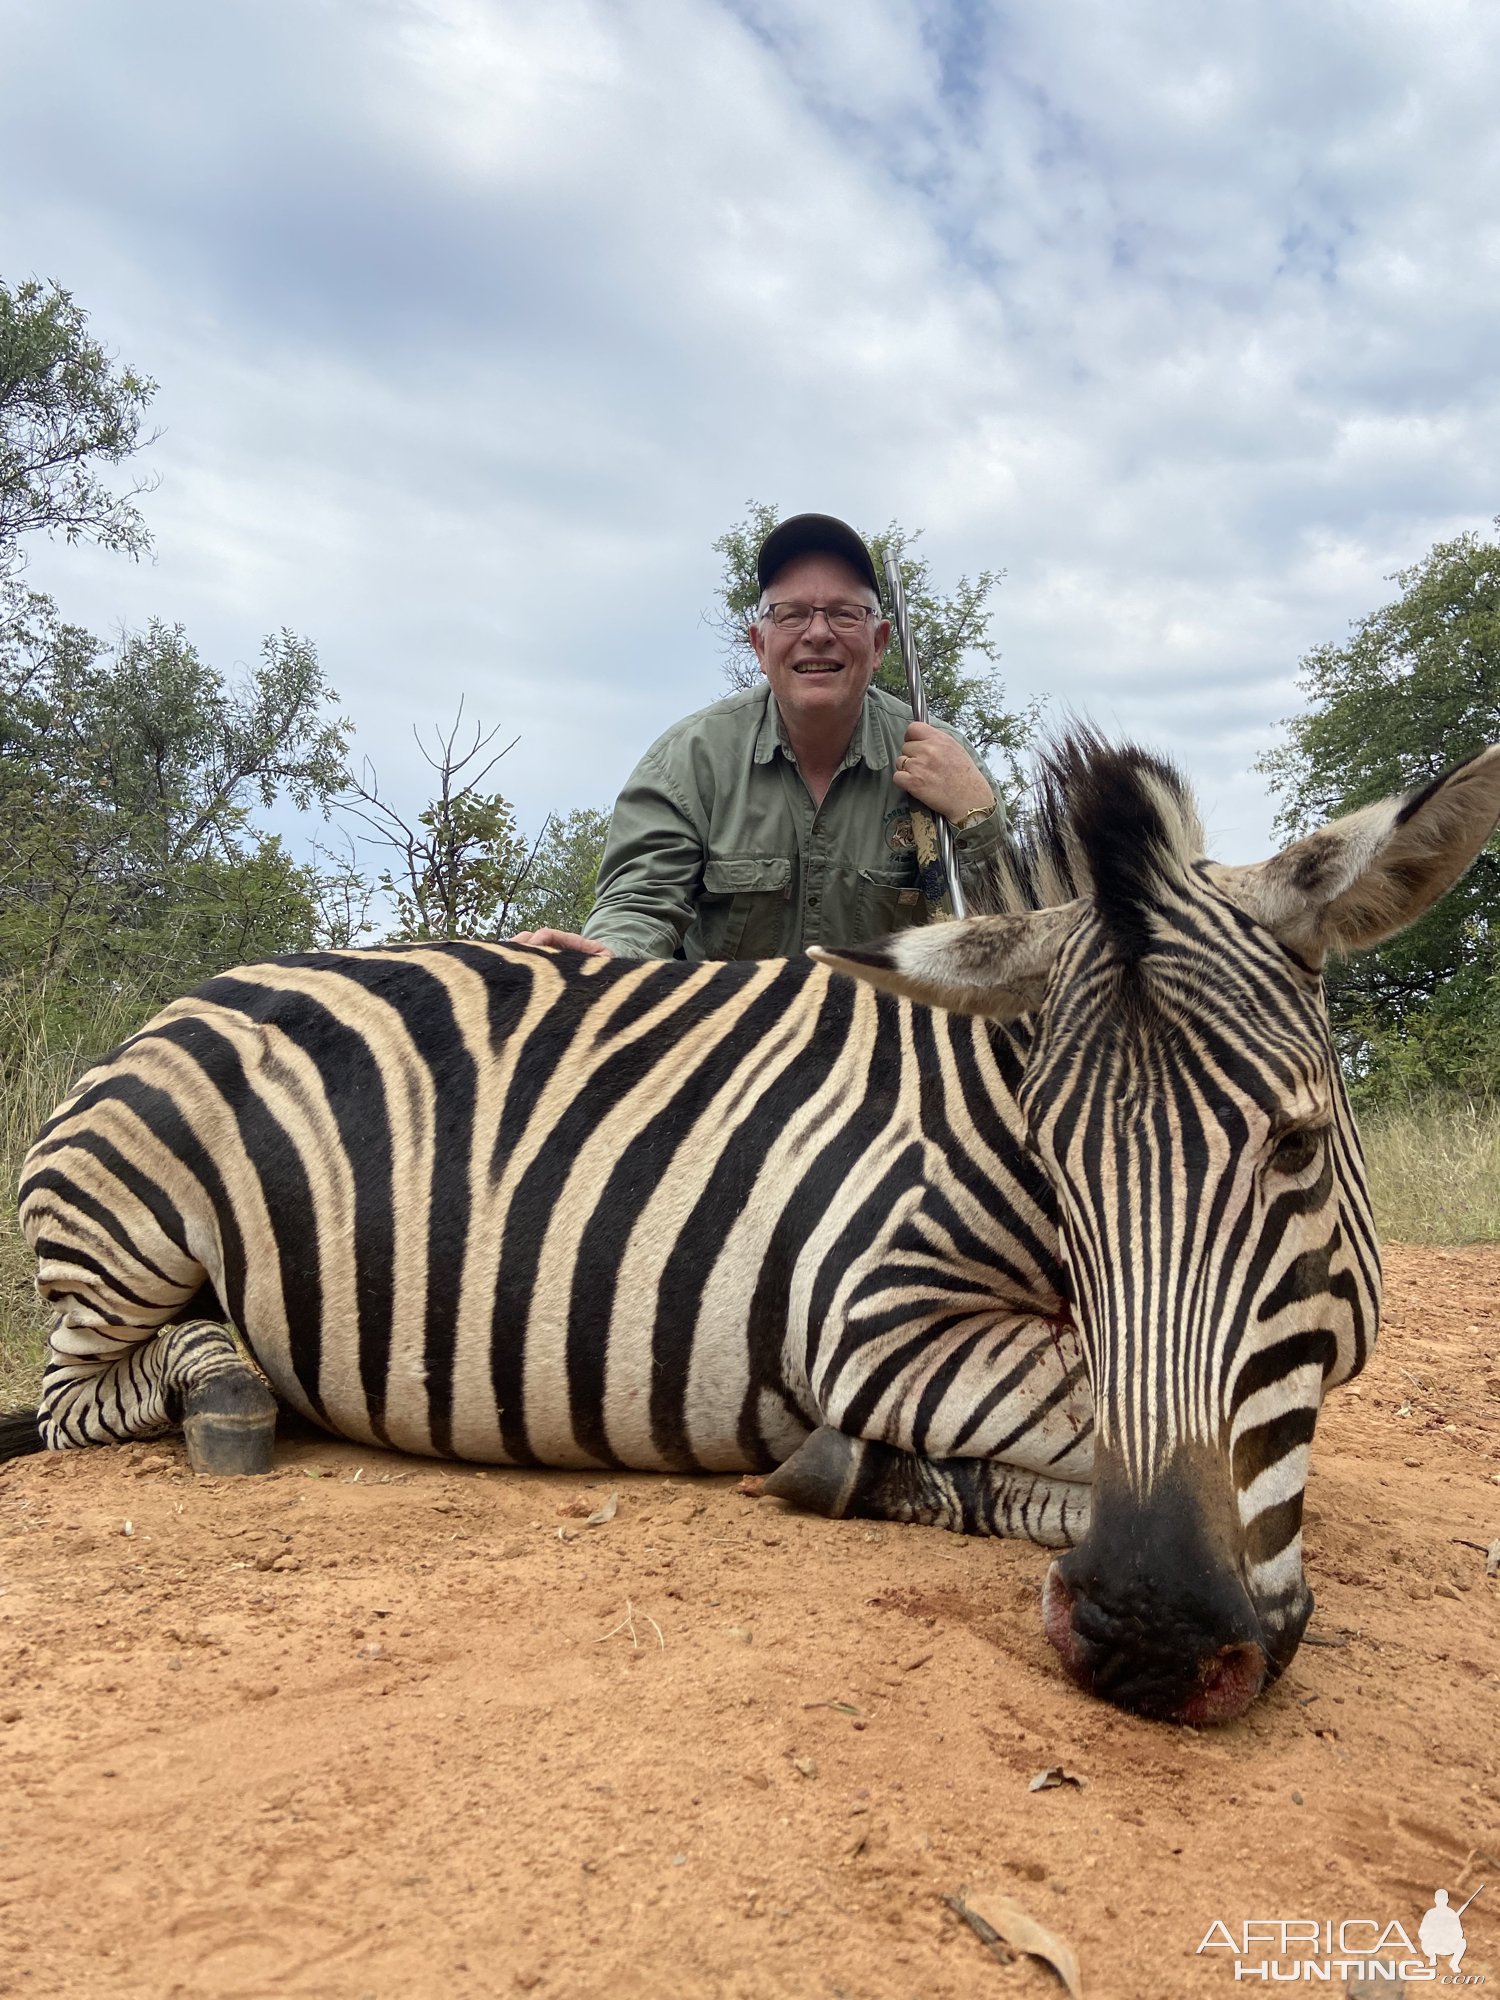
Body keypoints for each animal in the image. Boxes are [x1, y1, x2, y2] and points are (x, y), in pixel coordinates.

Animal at [11, 736, 1500, 1720]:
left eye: (1297, 1148)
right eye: (1058, 1172)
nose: (1150, 1635)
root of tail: (173, 1005)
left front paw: (889, 1475)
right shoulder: (873, 1312)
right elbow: (1085, 1414)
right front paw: (889, 1468)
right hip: (130, 1228)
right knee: (87, 1391)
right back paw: (226, 1392)